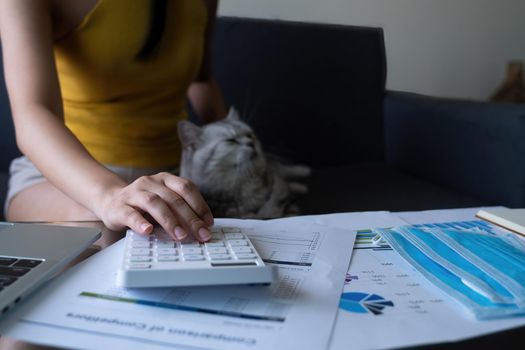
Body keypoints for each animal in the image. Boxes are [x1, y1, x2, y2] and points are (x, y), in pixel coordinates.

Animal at [178, 108, 310, 217]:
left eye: (250, 135)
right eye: (231, 140)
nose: (251, 143)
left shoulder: (288, 206)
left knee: (284, 170)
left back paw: (302, 177)